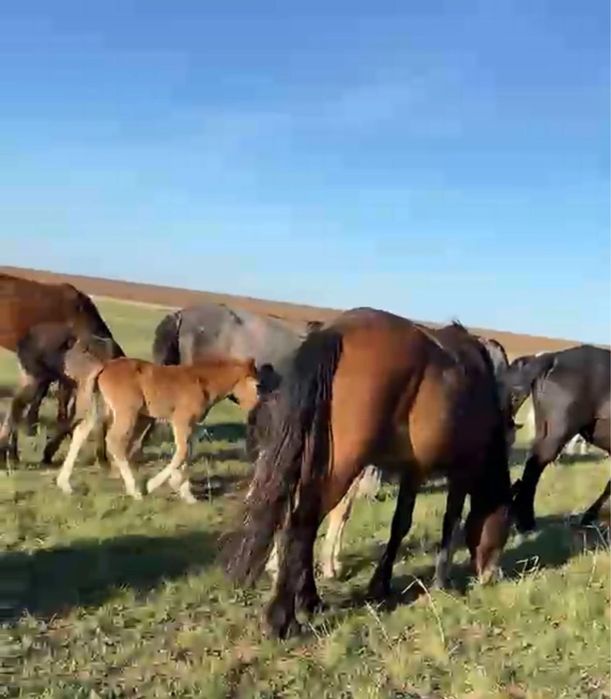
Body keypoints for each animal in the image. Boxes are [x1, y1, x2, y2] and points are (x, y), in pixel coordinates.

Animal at [55, 347, 261, 502]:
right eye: (257, 385)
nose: (255, 408)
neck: (202, 382)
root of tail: (105, 366)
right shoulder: (180, 421)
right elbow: (182, 452)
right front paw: (155, 485)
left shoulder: (193, 425)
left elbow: (188, 452)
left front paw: (186, 493)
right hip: (127, 413)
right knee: (114, 442)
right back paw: (134, 490)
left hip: (102, 408)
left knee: (81, 432)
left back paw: (64, 484)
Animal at [224, 307, 513, 638]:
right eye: (506, 525)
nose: (492, 576)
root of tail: (337, 332)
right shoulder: (461, 471)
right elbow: (450, 523)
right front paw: (441, 582)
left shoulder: (413, 471)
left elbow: (400, 525)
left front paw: (380, 584)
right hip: (343, 464)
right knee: (302, 524)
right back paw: (283, 617)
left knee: (300, 522)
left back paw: (309, 600)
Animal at [504, 344, 610, 532]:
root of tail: (553, 358)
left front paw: (589, 516)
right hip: (558, 432)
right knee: (535, 465)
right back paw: (525, 521)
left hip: (543, 428)